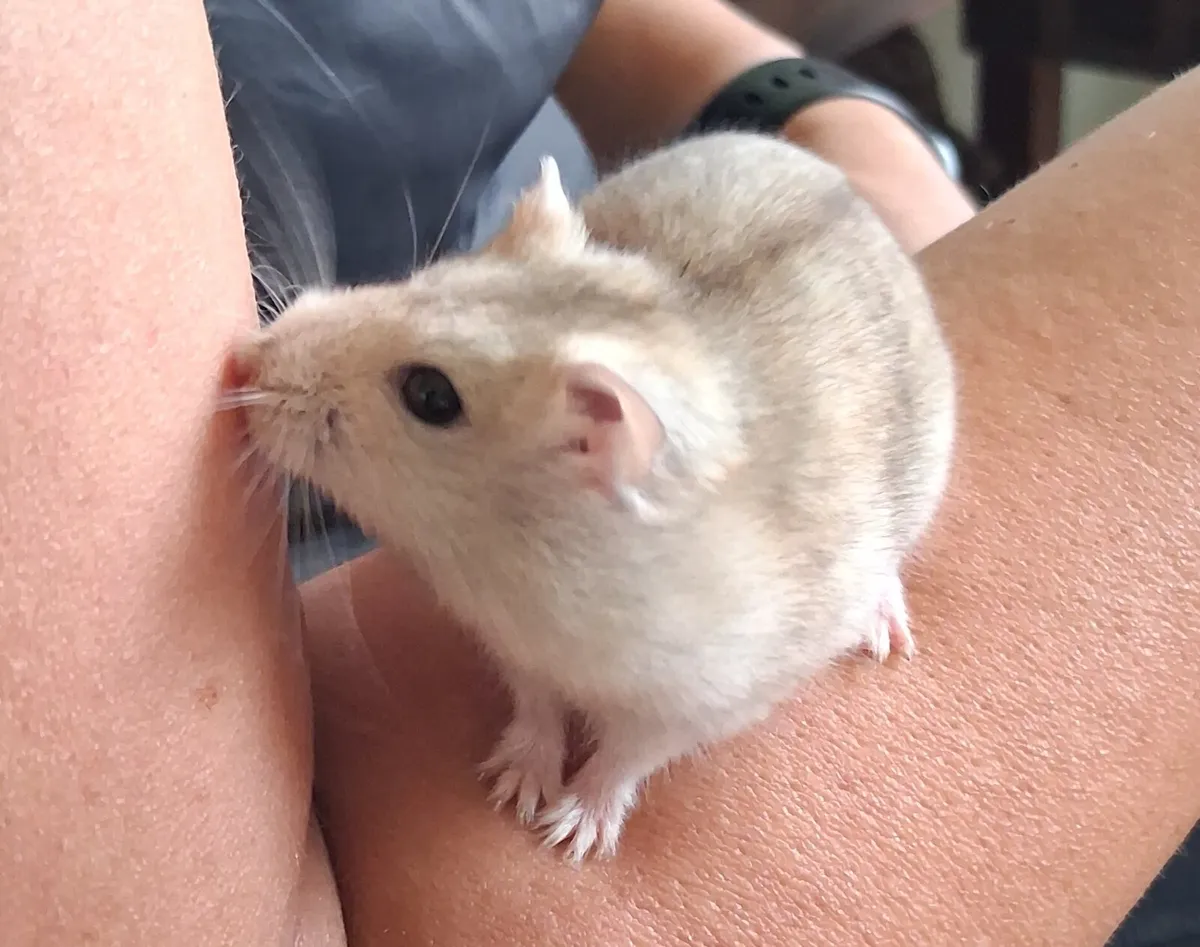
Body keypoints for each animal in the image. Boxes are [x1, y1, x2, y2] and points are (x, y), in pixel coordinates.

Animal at [229, 130, 956, 863]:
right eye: (424, 277)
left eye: (430, 395)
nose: (244, 360)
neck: (515, 552)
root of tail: (847, 189)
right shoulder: (516, 649)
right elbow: (536, 706)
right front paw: (515, 788)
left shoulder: (704, 699)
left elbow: (629, 756)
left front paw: (570, 832)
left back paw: (883, 629)